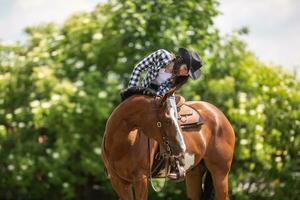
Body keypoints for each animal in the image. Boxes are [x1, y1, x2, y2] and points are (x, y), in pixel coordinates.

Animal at [102, 88, 236, 200]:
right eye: (167, 120)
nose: (182, 148)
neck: (121, 146)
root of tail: (218, 114)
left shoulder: (141, 180)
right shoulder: (118, 182)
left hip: (220, 174)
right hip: (194, 173)